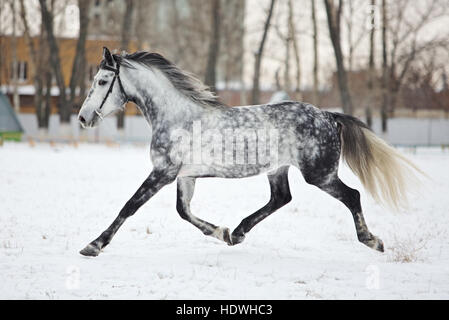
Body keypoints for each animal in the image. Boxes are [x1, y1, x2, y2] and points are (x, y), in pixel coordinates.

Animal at [78, 48, 420, 258]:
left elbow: (129, 206)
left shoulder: (162, 173)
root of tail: (328, 115)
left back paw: (373, 241)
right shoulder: (184, 176)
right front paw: (222, 232)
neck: (177, 116)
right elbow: (183, 211)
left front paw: (93, 245)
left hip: (320, 174)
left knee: (352, 196)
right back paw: (239, 232)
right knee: (281, 198)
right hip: (278, 169)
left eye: (103, 80)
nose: (83, 118)